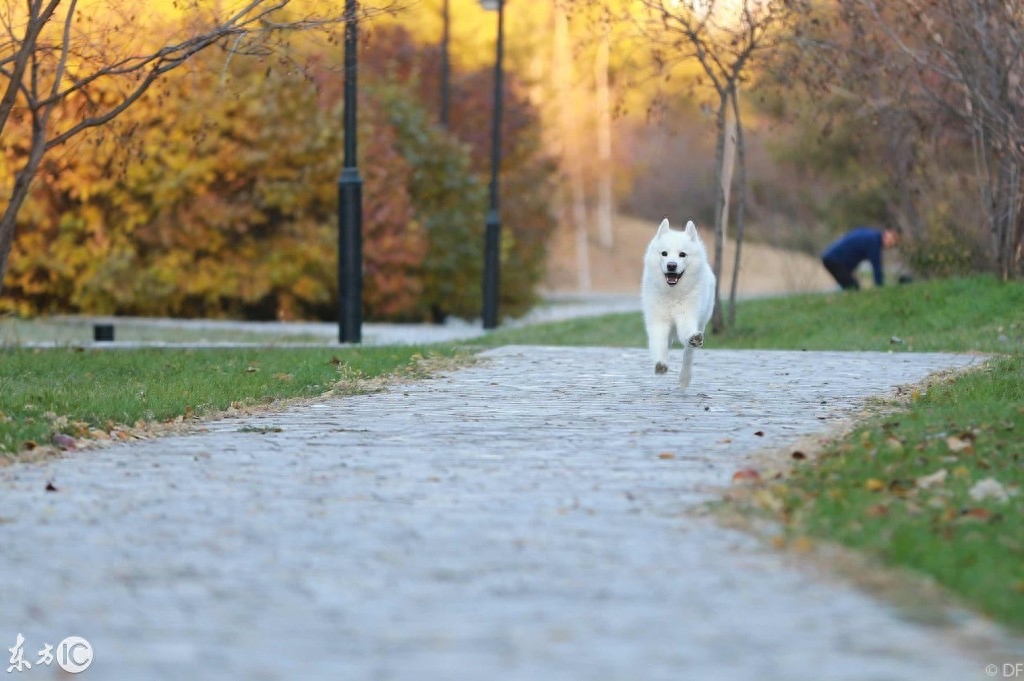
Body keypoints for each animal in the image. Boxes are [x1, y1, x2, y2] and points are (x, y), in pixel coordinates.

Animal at [638, 216, 712, 387]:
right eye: (664, 253)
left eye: (682, 254)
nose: (671, 265)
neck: (672, 295)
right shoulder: (658, 322)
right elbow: (659, 343)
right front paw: (661, 364)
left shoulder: (687, 318)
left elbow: (688, 338)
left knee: (688, 354)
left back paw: (684, 378)